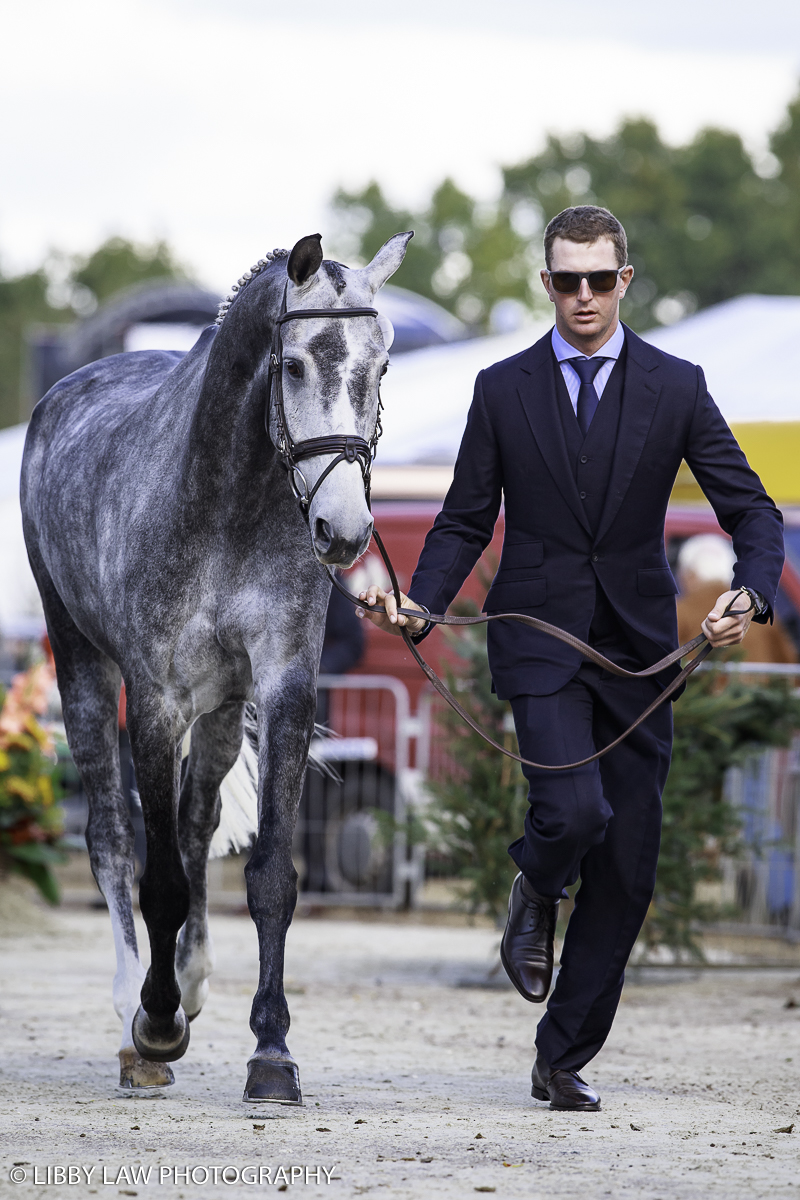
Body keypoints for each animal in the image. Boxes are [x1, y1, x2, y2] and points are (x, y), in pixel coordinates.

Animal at [20, 229, 412, 1099]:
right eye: (292, 364)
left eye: (379, 368)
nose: (344, 531)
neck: (227, 500)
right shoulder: (155, 702)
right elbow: (157, 876)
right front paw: (156, 1023)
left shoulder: (283, 686)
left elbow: (269, 876)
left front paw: (272, 1052)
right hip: (84, 674)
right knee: (111, 837)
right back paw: (134, 1014)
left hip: (226, 711)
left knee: (196, 825)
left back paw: (191, 981)